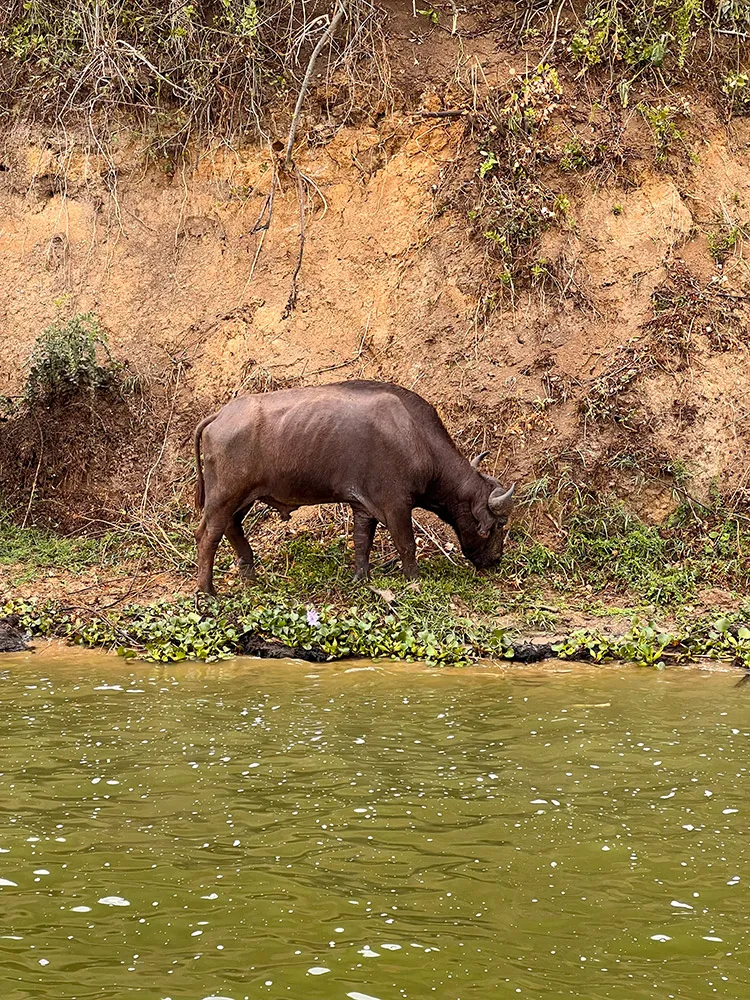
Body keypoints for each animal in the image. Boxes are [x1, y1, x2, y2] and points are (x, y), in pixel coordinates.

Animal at [193, 380, 514, 595]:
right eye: (500, 525)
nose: (495, 560)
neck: (415, 436)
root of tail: (220, 416)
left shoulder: (363, 505)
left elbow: (362, 541)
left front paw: (361, 577)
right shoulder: (396, 505)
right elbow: (406, 544)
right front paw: (414, 579)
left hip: (243, 498)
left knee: (232, 527)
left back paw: (250, 576)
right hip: (224, 496)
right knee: (208, 536)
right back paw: (207, 591)